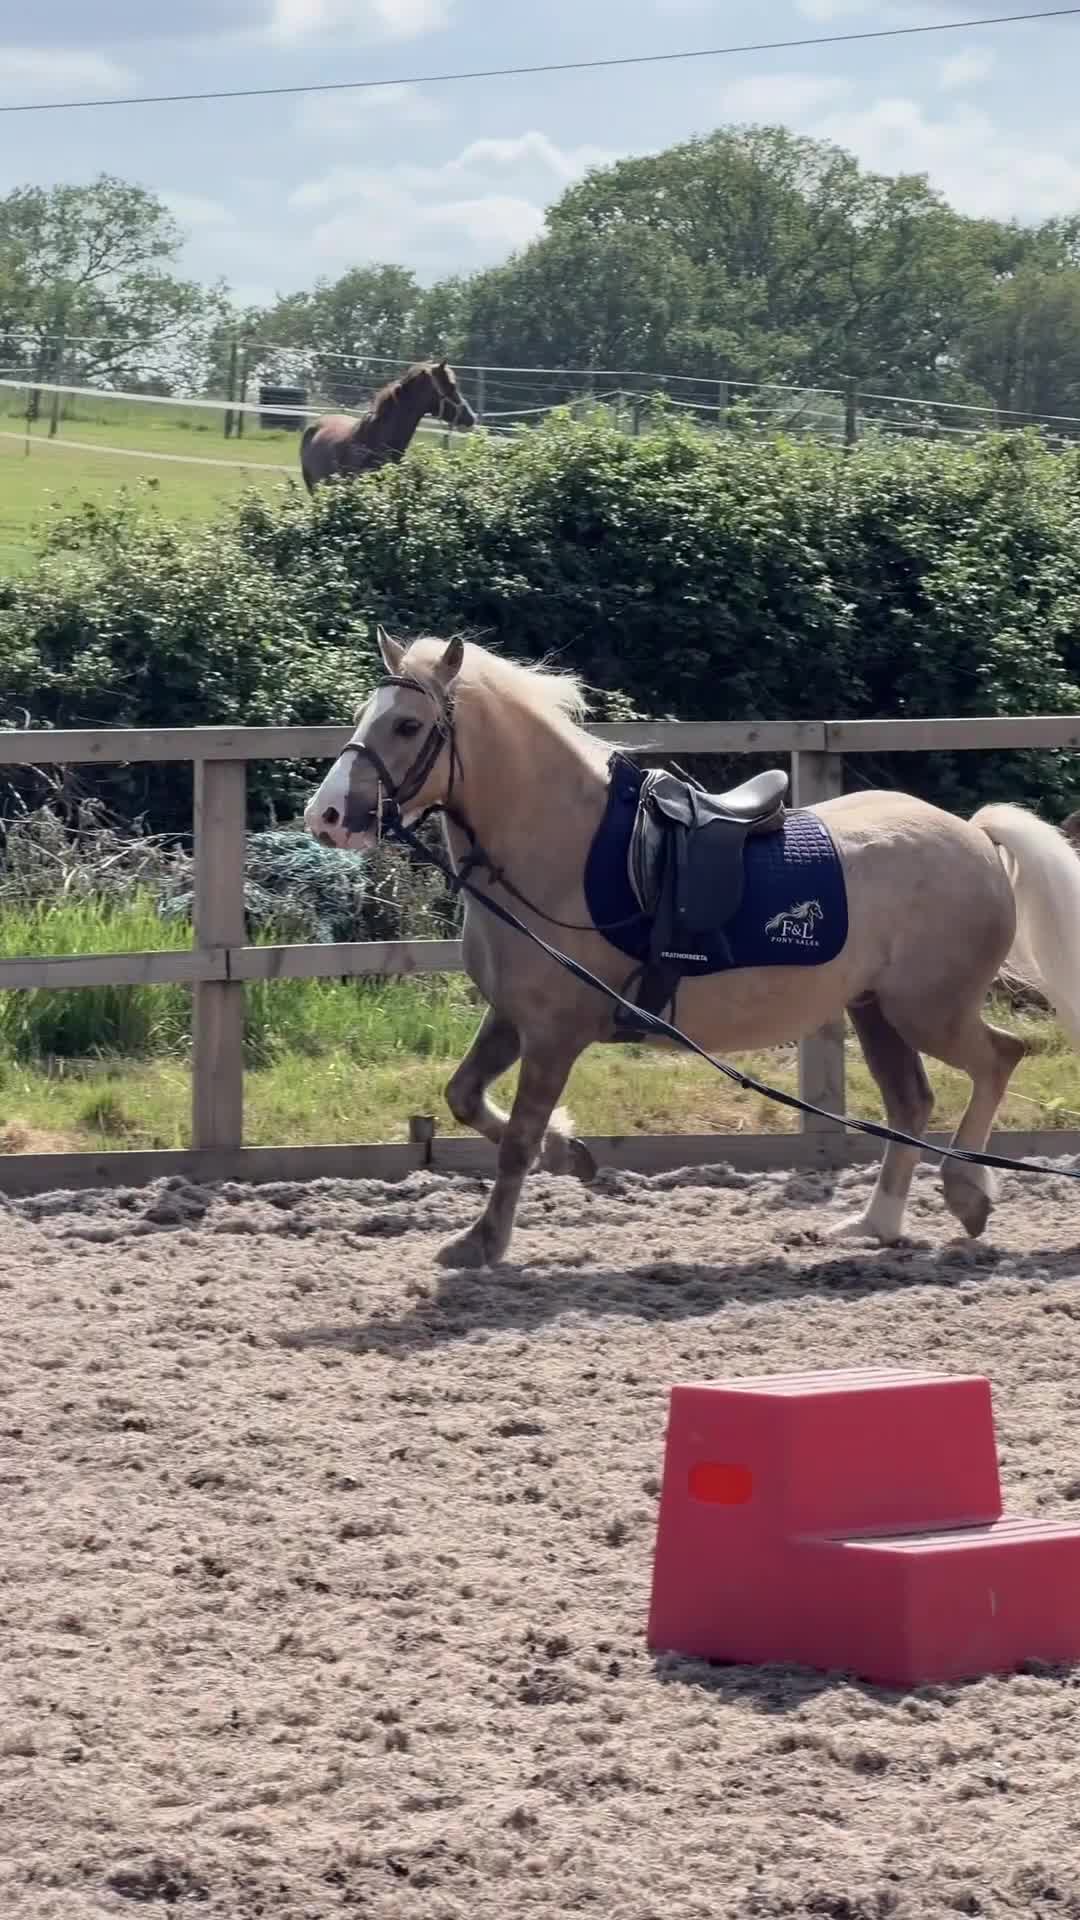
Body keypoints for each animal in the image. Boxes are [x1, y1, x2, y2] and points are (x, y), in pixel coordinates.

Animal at [304, 631, 1080, 1271]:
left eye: (408, 725)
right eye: (365, 716)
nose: (327, 816)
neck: (560, 848)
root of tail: (976, 835)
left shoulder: (555, 1035)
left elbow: (519, 1136)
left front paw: (481, 1242)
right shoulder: (512, 1019)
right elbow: (464, 1098)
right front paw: (574, 1154)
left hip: (928, 1009)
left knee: (999, 1058)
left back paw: (967, 1192)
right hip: (876, 1010)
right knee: (912, 1103)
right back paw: (874, 1225)